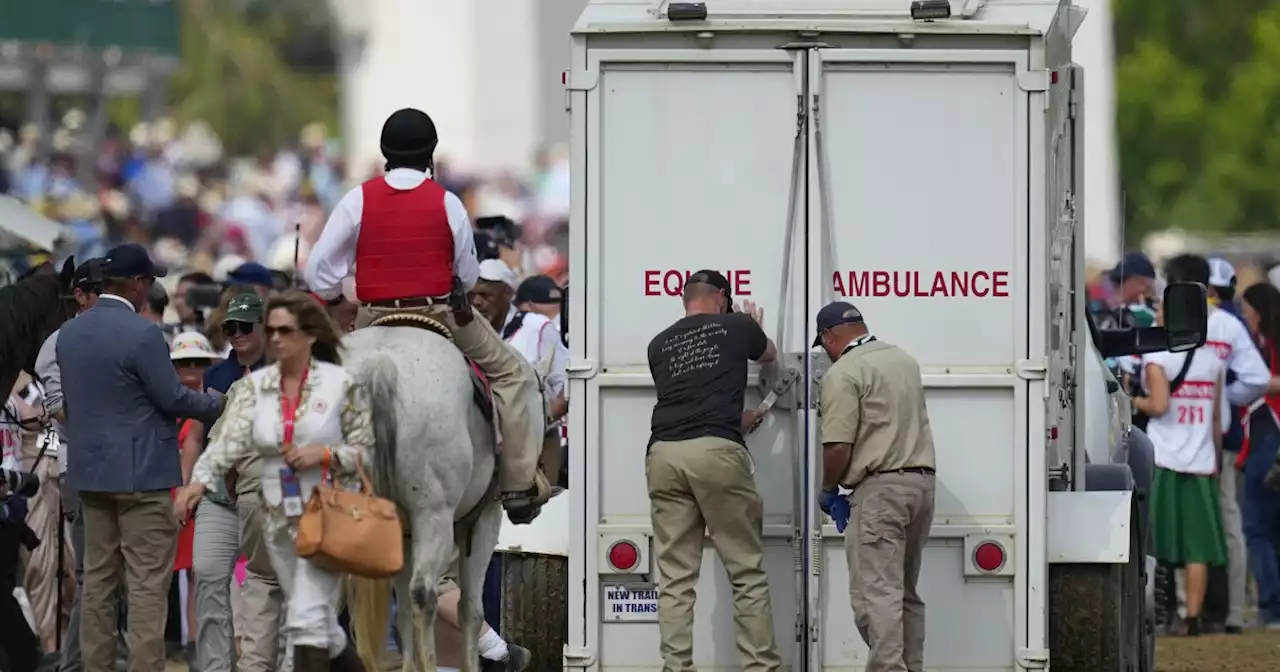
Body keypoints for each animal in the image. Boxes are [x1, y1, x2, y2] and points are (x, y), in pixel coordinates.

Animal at [343, 326, 506, 670]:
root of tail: (380, 363)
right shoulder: (483, 520)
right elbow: (470, 609)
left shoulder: (403, 534)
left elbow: (403, 607)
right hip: (434, 516)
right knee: (423, 593)